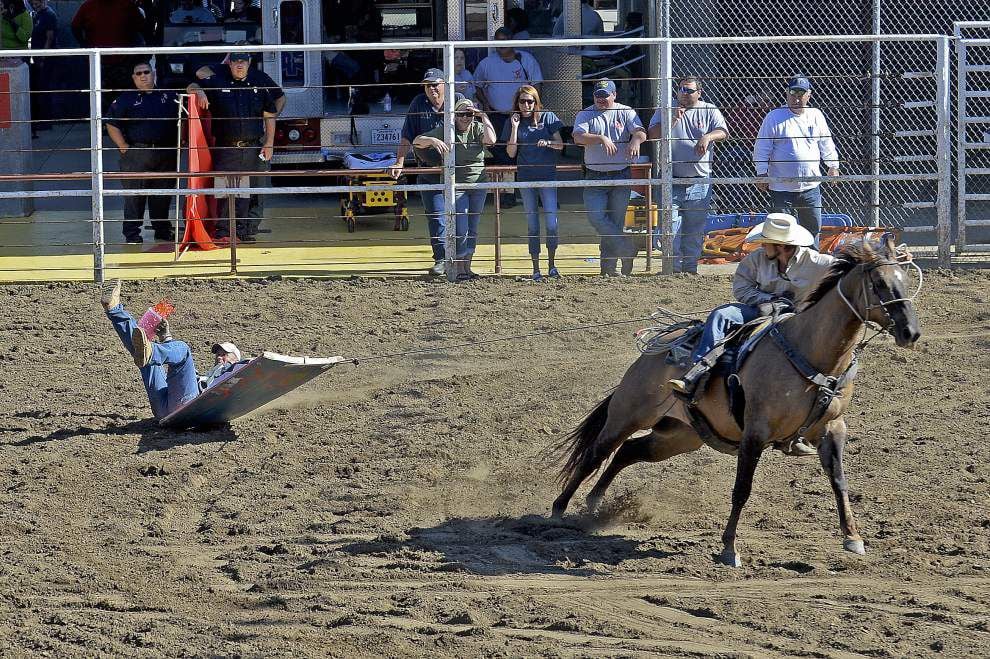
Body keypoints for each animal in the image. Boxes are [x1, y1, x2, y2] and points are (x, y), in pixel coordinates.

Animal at [556, 237, 928, 568]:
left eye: (906, 279)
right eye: (879, 283)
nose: (910, 333)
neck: (812, 352)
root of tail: (661, 346)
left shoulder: (833, 428)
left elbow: (839, 481)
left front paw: (853, 538)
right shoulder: (755, 432)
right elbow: (742, 489)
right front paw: (729, 549)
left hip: (679, 435)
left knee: (628, 452)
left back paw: (593, 506)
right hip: (630, 413)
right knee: (597, 453)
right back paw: (559, 511)